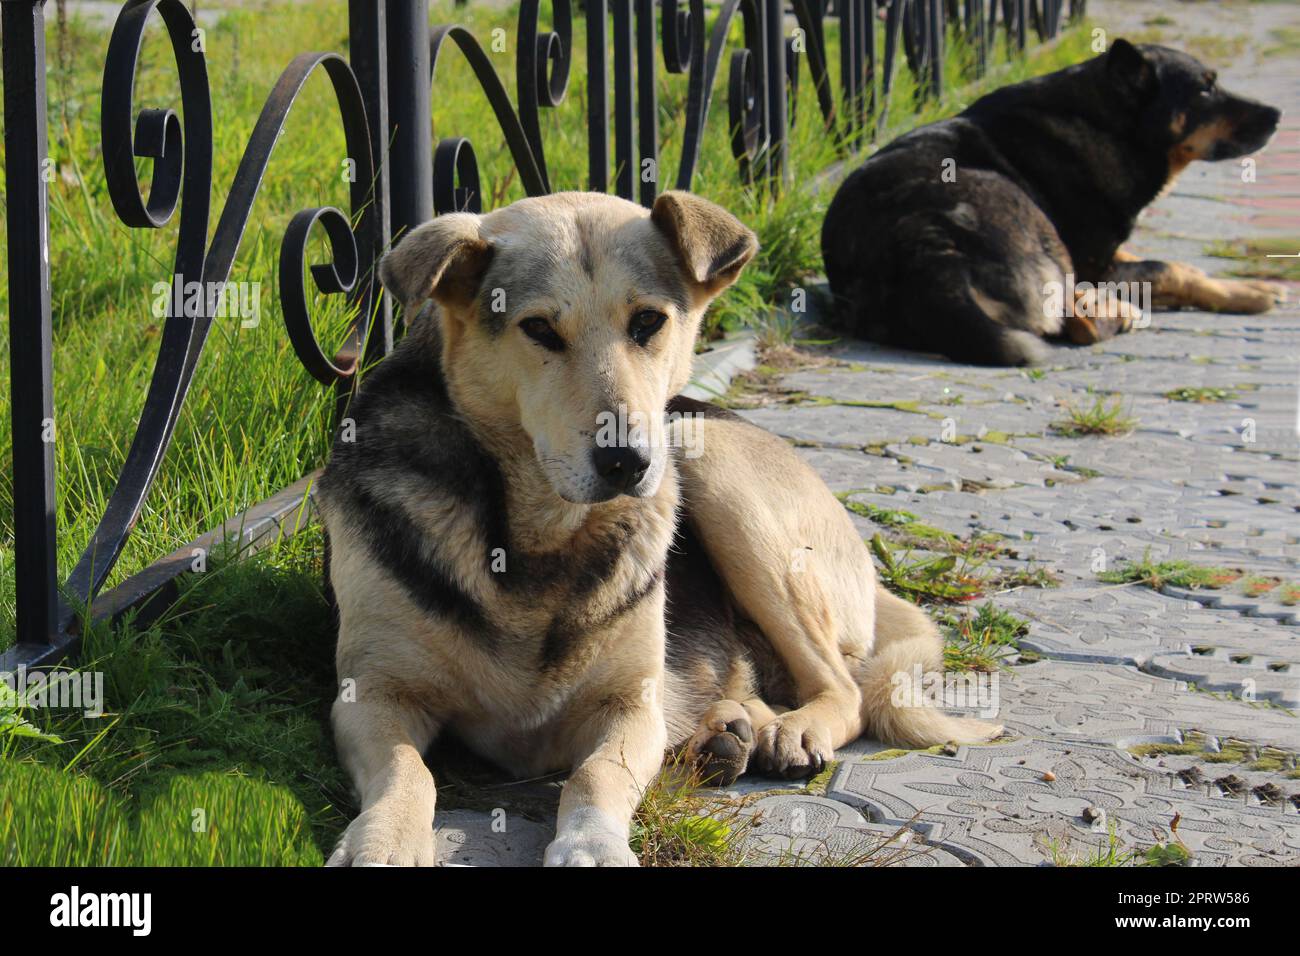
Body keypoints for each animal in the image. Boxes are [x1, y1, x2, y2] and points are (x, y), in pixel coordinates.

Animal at [317, 188, 1003, 868]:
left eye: (647, 322)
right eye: (538, 328)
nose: (626, 461)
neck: (541, 533)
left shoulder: (630, 706)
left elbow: (595, 775)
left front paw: (592, 843)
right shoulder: (372, 693)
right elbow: (409, 771)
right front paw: (386, 840)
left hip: (707, 461)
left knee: (845, 689)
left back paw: (790, 728)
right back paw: (727, 733)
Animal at [826, 40, 1284, 366]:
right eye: (1205, 89)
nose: (1278, 114)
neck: (1107, 125)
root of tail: (922, 250)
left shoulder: (1104, 255)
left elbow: (1176, 265)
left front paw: (1251, 287)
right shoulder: (1096, 265)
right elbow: (1171, 269)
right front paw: (1250, 294)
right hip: (1022, 214)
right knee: (1079, 323)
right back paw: (1118, 313)